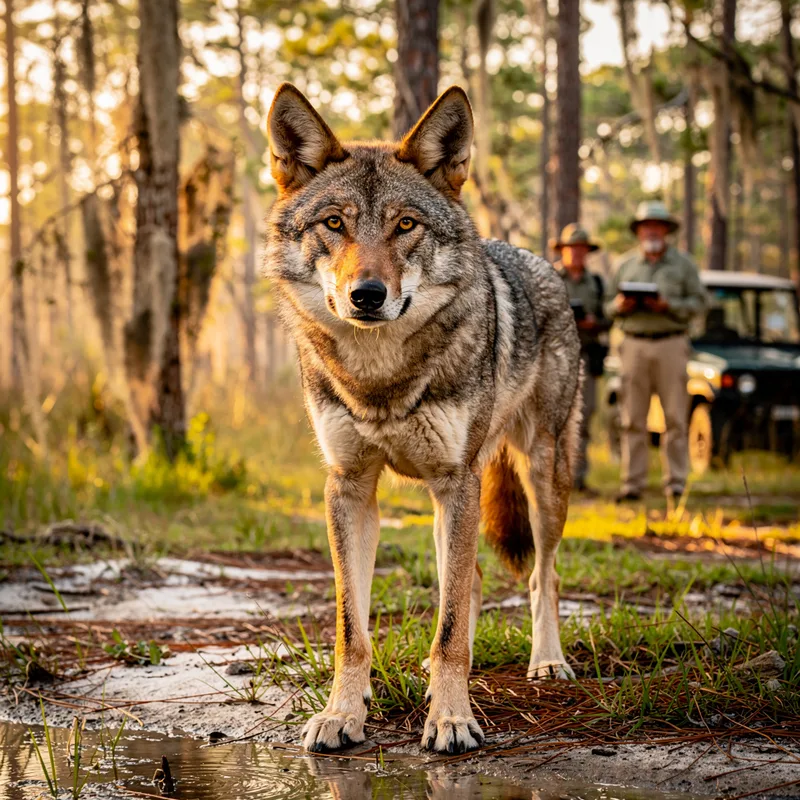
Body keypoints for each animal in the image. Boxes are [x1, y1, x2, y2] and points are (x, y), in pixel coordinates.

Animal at [263, 83, 582, 755]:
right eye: (335, 223)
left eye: (405, 225)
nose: (367, 295)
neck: (379, 378)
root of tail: (534, 258)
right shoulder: (350, 487)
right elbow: (353, 629)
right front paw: (342, 714)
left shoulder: (456, 481)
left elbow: (452, 626)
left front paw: (453, 719)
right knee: (471, 581)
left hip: (541, 477)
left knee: (540, 577)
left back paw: (547, 662)